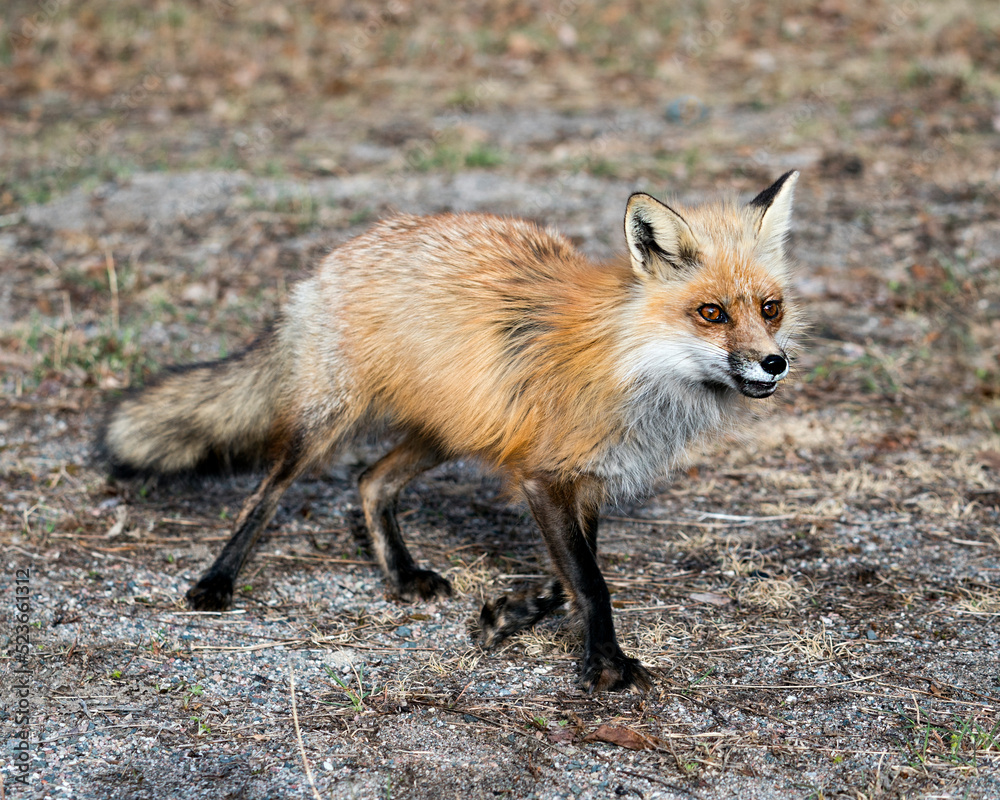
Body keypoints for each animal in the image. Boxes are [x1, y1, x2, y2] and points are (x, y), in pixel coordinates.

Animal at [99, 170, 804, 692]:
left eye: (770, 308)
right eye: (711, 313)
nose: (775, 362)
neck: (630, 363)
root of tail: (335, 256)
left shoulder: (587, 481)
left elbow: (572, 577)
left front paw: (509, 615)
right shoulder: (543, 477)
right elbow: (592, 582)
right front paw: (603, 666)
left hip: (445, 431)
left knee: (370, 482)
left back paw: (401, 576)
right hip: (327, 423)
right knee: (265, 494)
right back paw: (217, 580)